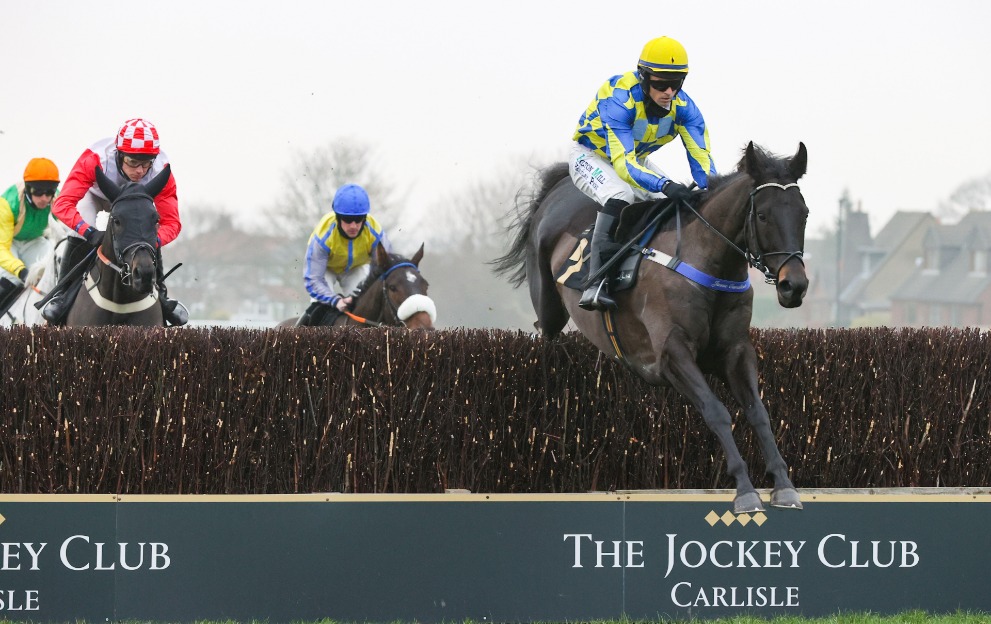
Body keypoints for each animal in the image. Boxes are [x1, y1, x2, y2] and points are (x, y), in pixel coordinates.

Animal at [496, 144, 812, 516]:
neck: (708, 262)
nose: (794, 286)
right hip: (548, 303)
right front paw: (746, 492)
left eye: (804, 214)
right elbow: (717, 413)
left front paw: (785, 486)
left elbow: (759, 413)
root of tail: (559, 187)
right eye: (762, 215)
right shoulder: (672, 355)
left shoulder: (735, 351)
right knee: (544, 329)